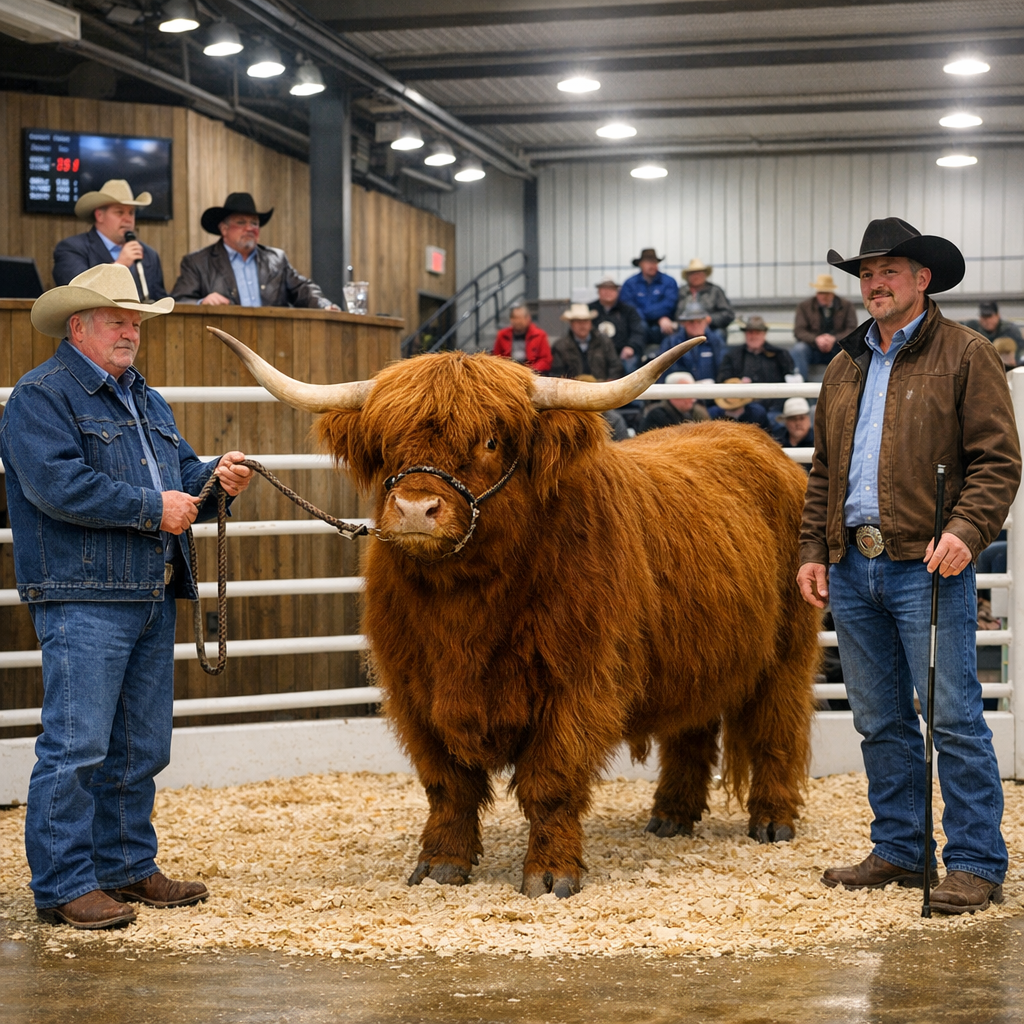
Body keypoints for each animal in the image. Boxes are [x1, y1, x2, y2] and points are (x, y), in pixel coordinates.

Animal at [211, 326, 820, 899]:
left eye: (489, 440)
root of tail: (756, 442)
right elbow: (447, 784)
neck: (465, 606)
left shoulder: (576, 685)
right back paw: (671, 816)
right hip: (695, 654)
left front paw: (551, 874)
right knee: (691, 729)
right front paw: (441, 864)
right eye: (386, 442)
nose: (414, 508)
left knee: (778, 726)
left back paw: (772, 821)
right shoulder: (414, 690)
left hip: (789, 647)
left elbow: (550, 783)